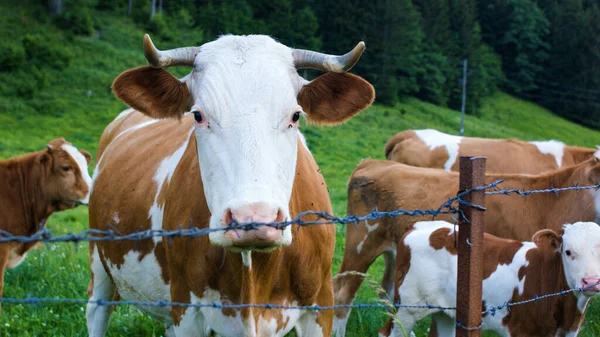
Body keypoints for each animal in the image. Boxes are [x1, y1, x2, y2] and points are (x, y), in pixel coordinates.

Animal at [86, 32, 376, 336]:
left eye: (295, 115)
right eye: (198, 115)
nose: (253, 218)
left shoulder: (320, 305)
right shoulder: (186, 308)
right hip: (98, 256)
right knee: (98, 309)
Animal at [380, 220, 600, 336]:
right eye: (568, 252)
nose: (590, 282)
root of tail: (419, 226)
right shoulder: (521, 330)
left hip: (445, 311)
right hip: (407, 308)